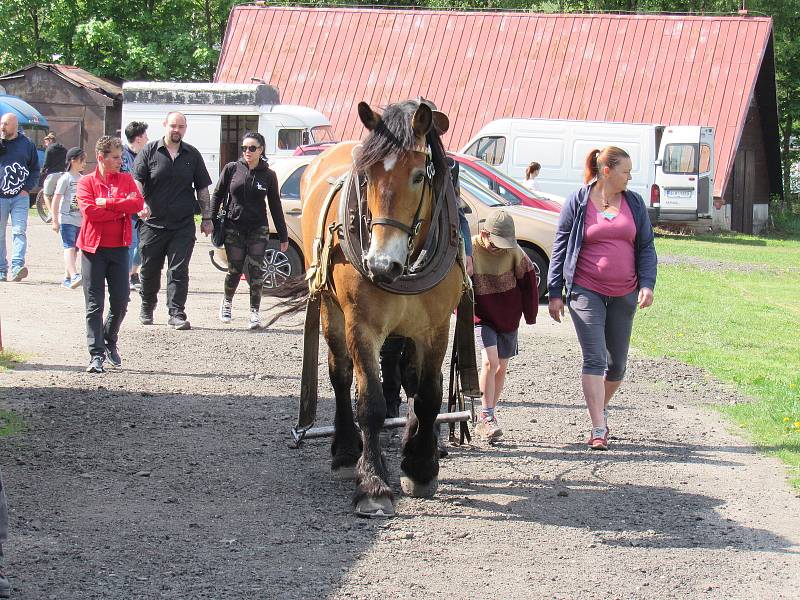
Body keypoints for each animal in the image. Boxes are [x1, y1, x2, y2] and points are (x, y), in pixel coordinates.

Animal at [300, 98, 462, 516]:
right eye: (367, 176)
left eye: (419, 176)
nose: (380, 265)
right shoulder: (363, 324)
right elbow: (370, 401)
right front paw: (373, 483)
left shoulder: (436, 327)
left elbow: (428, 394)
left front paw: (420, 466)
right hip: (330, 309)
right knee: (341, 374)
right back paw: (345, 451)